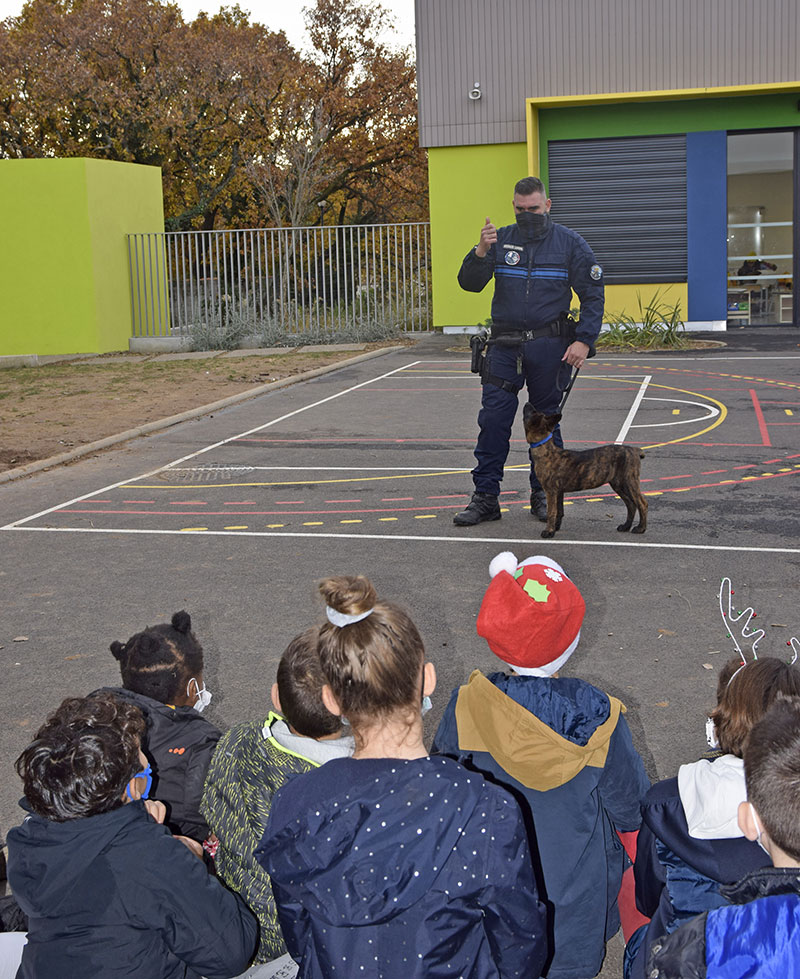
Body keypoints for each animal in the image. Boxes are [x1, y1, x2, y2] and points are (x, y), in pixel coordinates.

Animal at [520, 402, 648, 540]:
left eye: (533, 412)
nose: (527, 403)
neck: (545, 448)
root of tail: (634, 450)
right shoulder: (559, 492)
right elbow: (559, 511)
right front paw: (556, 527)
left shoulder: (551, 491)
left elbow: (551, 512)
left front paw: (549, 531)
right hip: (619, 484)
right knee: (631, 505)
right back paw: (626, 526)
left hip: (630, 482)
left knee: (642, 503)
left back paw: (641, 528)